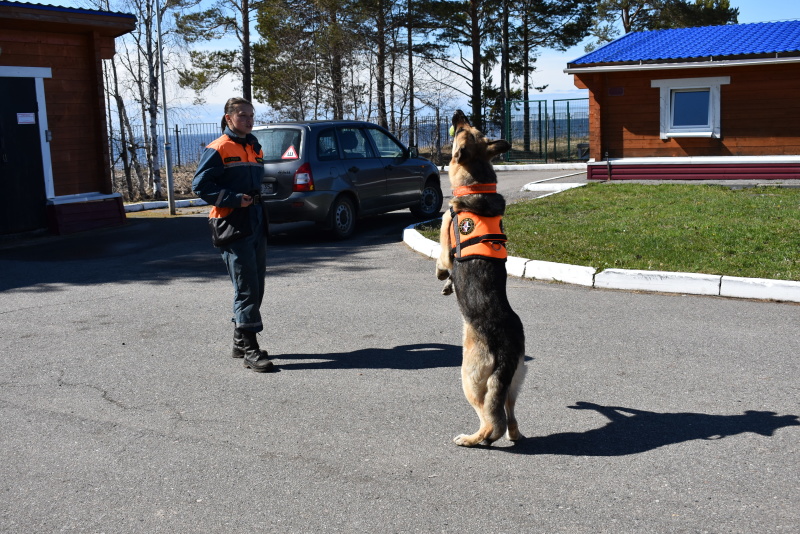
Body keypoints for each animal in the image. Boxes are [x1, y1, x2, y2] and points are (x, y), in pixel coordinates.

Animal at [434, 111, 528, 450]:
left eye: (463, 129)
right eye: (473, 129)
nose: (459, 113)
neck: (477, 183)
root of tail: (506, 347)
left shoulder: (445, 234)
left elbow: (441, 261)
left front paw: (441, 276)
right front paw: (447, 284)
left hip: (469, 378)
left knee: (492, 422)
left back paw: (472, 439)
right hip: (511, 383)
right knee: (510, 417)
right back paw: (513, 435)